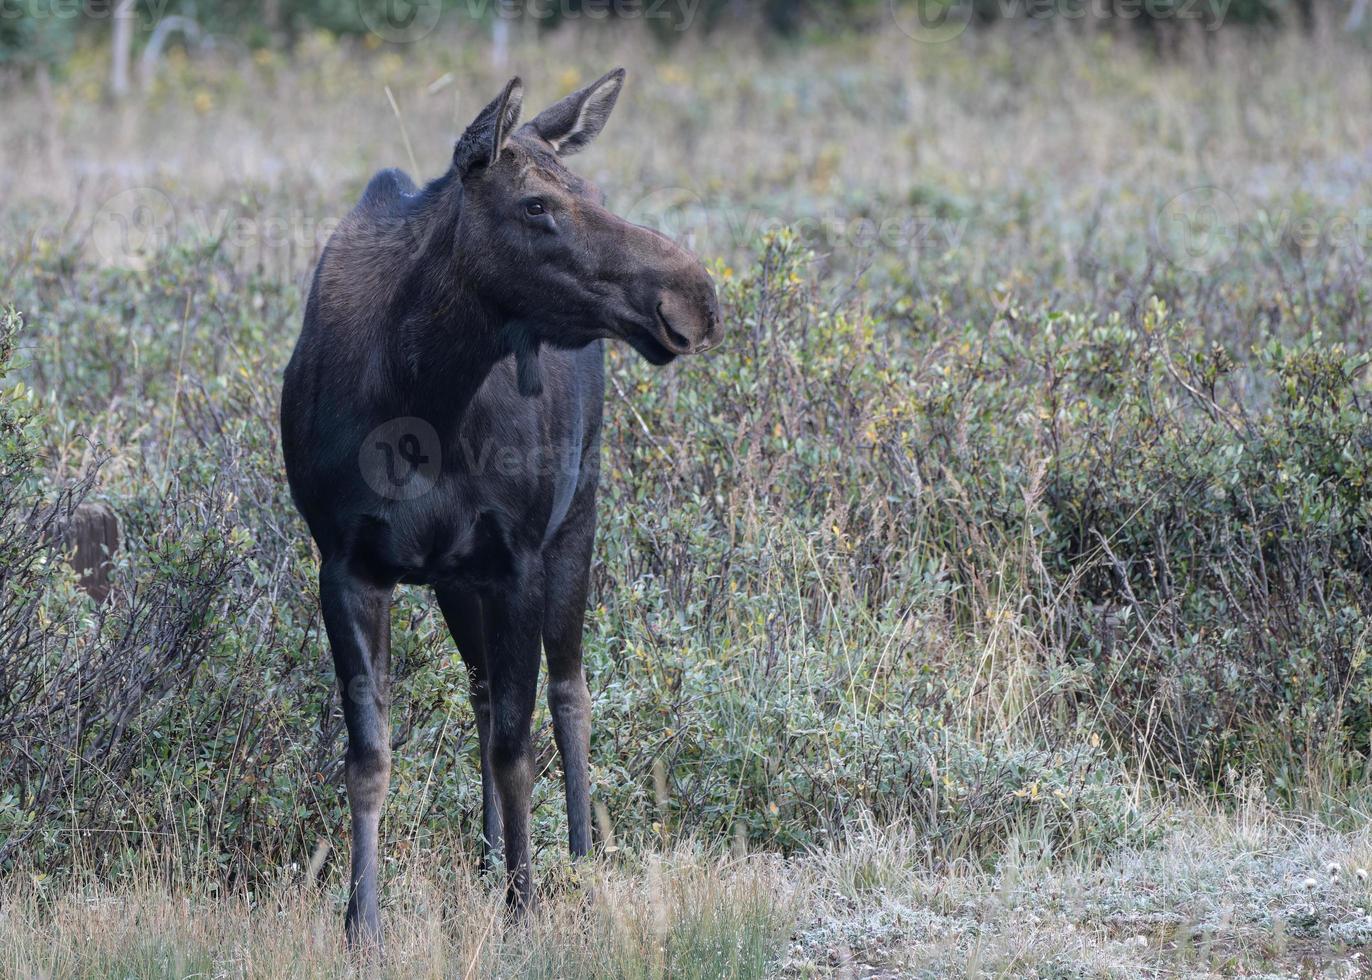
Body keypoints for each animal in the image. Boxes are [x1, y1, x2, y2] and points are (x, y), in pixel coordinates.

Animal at [279, 66, 729, 938]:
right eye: (536, 206)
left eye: (590, 189)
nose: (695, 296)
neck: (420, 391)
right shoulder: (347, 562)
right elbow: (371, 758)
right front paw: (362, 924)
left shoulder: (517, 555)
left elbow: (519, 752)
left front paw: (526, 906)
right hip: (458, 578)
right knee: (485, 693)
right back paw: (489, 861)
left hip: (577, 517)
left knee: (569, 691)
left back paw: (581, 861)